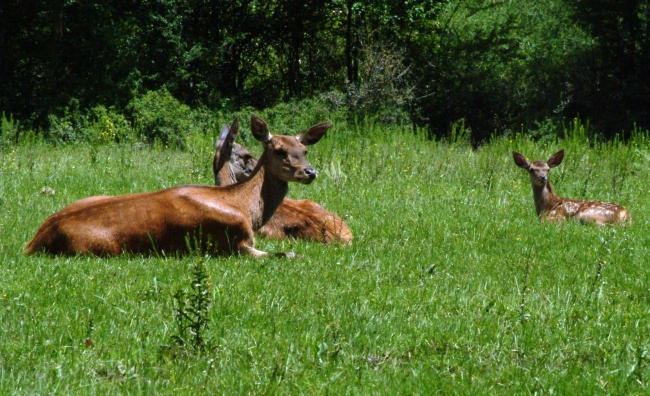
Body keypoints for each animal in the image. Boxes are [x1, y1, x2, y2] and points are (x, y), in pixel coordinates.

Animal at [25, 114, 330, 256]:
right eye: (279, 150)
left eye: (304, 149)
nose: (310, 172)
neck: (244, 207)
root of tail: (33, 242)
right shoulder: (234, 242)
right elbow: (289, 254)